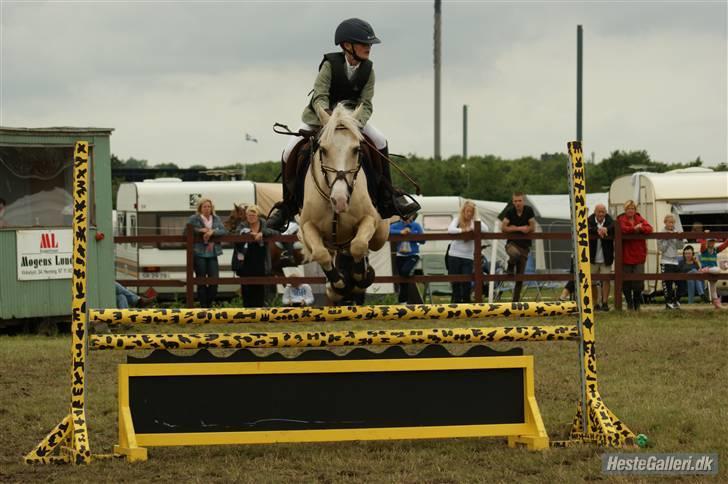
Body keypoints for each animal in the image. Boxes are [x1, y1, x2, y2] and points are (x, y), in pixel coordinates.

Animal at [298, 104, 389, 302]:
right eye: (323, 150)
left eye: (356, 150)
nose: (339, 200)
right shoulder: (307, 226)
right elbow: (321, 254)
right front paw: (340, 284)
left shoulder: (369, 219)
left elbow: (359, 245)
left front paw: (360, 277)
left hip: (380, 233)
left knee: (360, 246)